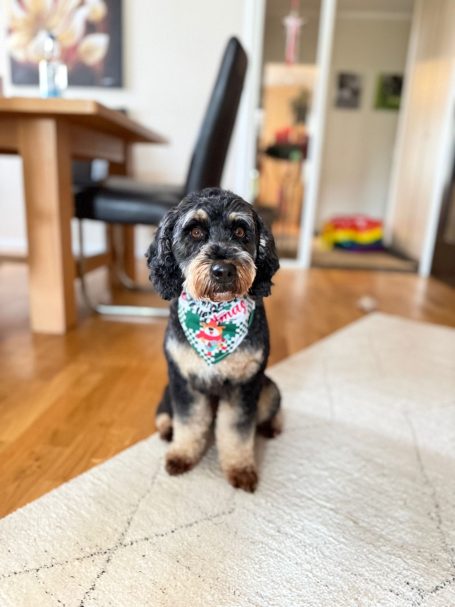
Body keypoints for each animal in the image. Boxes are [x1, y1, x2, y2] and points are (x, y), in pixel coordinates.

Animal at [146, 188, 282, 492]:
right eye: (195, 231)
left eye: (241, 231)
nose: (223, 270)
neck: (214, 316)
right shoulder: (184, 380)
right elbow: (189, 422)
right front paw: (181, 455)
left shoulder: (245, 385)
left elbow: (237, 431)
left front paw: (240, 469)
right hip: (167, 390)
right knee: (165, 415)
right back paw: (167, 429)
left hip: (268, 389)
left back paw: (272, 426)